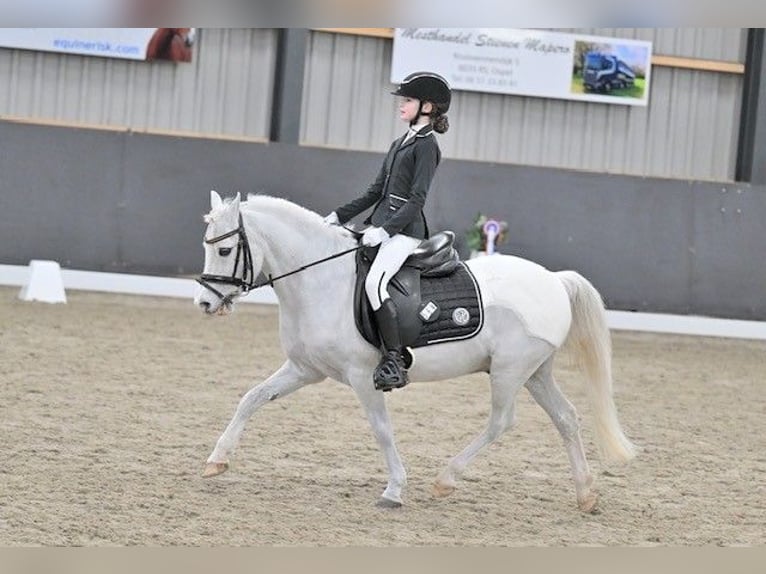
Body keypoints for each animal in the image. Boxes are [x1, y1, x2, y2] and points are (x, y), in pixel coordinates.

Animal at [194, 190, 637, 511]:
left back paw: (446, 479)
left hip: (510, 371)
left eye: (223, 250)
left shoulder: (362, 377)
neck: (322, 280)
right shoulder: (304, 368)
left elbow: (382, 430)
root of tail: (555, 279)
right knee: (566, 418)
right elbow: (252, 398)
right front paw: (216, 461)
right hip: (536, 372)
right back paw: (586, 494)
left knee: (502, 422)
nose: (204, 303)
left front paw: (394, 490)